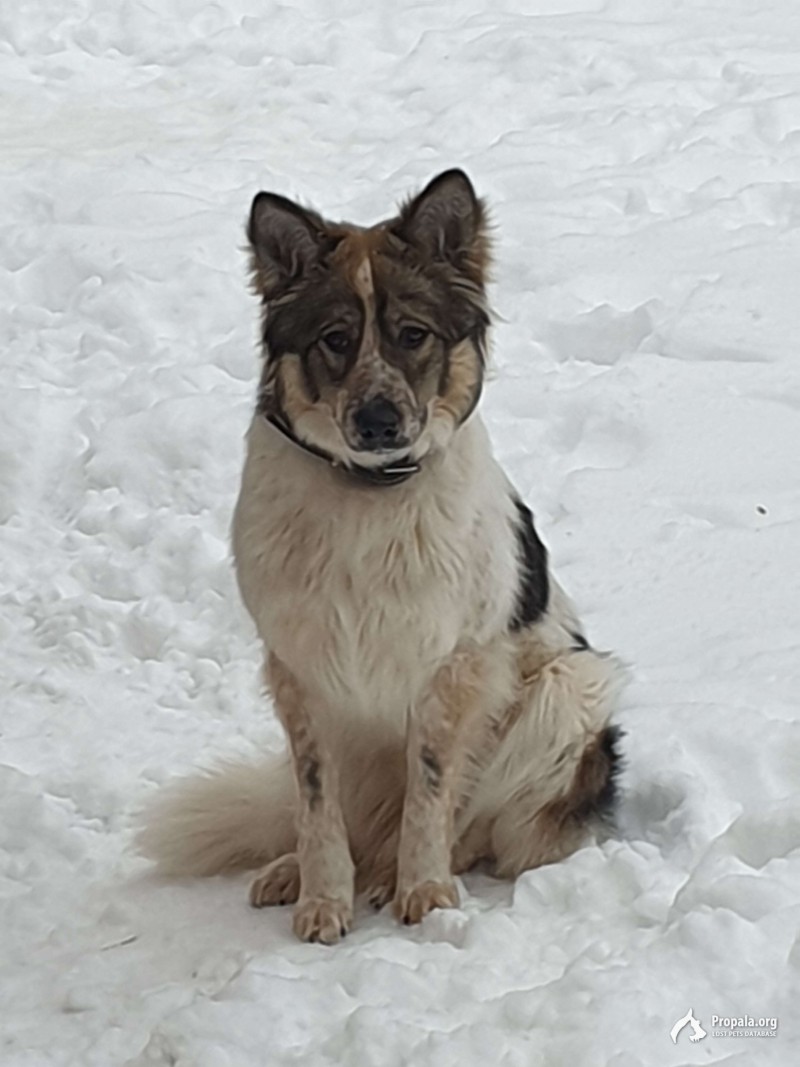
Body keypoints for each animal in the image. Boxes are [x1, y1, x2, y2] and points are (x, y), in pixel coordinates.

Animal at [139, 166, 627, 943]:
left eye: (412, 335)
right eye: (336, 338)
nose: (378, 419)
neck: (370, 494)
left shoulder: (453, 670)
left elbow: (430, 797)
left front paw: (424, 891)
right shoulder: (301, 672)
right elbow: (316, 804)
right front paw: (322, 896)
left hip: (568, 687)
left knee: (477, 828)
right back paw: (301, 868)